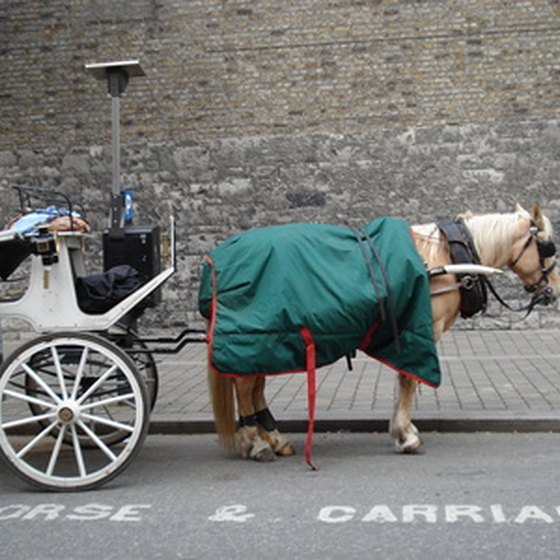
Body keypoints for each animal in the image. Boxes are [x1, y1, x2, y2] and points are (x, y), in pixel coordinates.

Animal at [201, 203, 560, 462]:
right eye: (546, 247)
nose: (553, 291)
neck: (444, 258)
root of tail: (215, 263)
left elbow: (404, 379)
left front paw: (401, 430)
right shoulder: (421, 330)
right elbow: (408, 380)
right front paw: (406, 435)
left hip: (265, 343)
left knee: (253, 388)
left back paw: (273, 439)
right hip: (253, 339)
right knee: (245, 387)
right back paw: (256, 443)